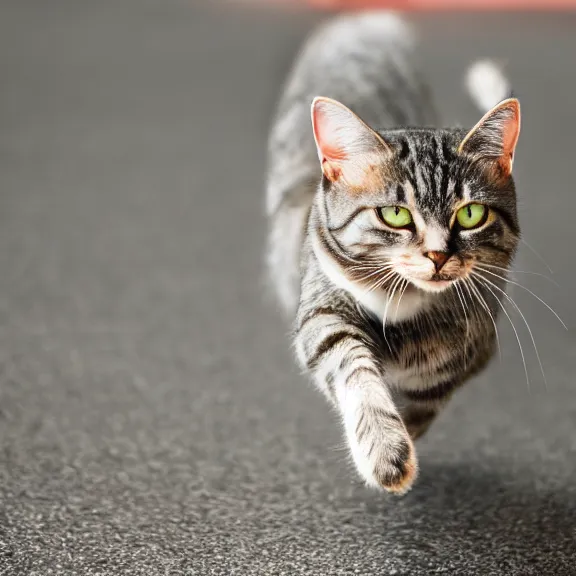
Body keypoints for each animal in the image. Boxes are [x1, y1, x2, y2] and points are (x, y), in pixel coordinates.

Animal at [266, 11, 520, 492]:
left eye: (471, 213)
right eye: (396, 215)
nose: (438, 255)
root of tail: (361, 21)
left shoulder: (475, 343)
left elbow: (429, 391)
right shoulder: (324, 311)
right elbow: (354, 367)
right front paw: (384, 449)